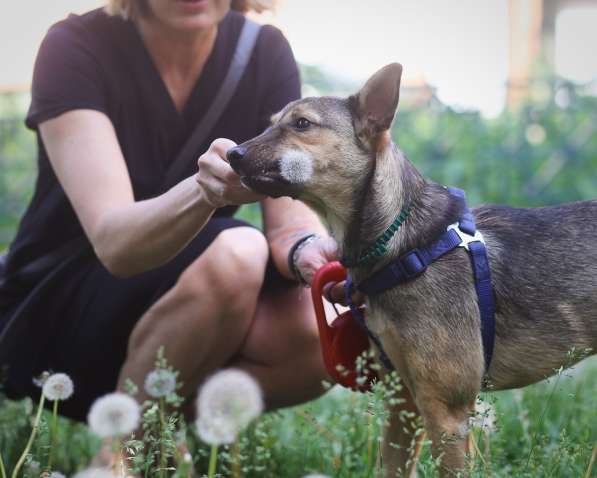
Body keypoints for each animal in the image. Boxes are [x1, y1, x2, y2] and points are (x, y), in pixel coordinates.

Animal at [226, 62, 592, 474]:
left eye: (302, 124)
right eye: (271, 123)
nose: (232, 153)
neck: (405, 244)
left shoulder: (446, 413)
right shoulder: (402, 402)